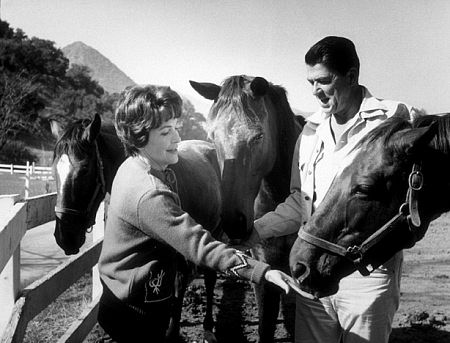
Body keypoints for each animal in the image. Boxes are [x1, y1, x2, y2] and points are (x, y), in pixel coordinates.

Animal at [51, 114, 223, 342]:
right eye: (53, 170)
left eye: (85, 169)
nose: (65, 236)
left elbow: (177, 288)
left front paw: (172, 332)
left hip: (215, 230)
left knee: (209, 278)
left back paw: (208, 326)